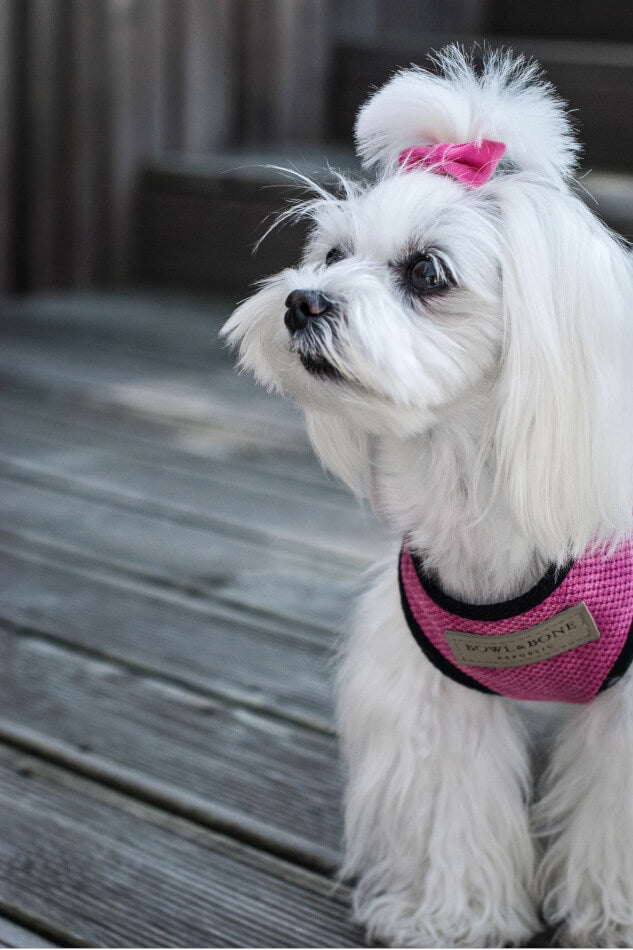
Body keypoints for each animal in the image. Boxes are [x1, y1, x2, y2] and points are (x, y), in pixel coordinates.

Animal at [223, 46, 633, 950]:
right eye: (331, 253)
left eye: (426, 272)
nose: (301, 301)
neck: (470, 477)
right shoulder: (438, 690)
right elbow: (454, 802)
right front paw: (447, 916)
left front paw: (611, 914)